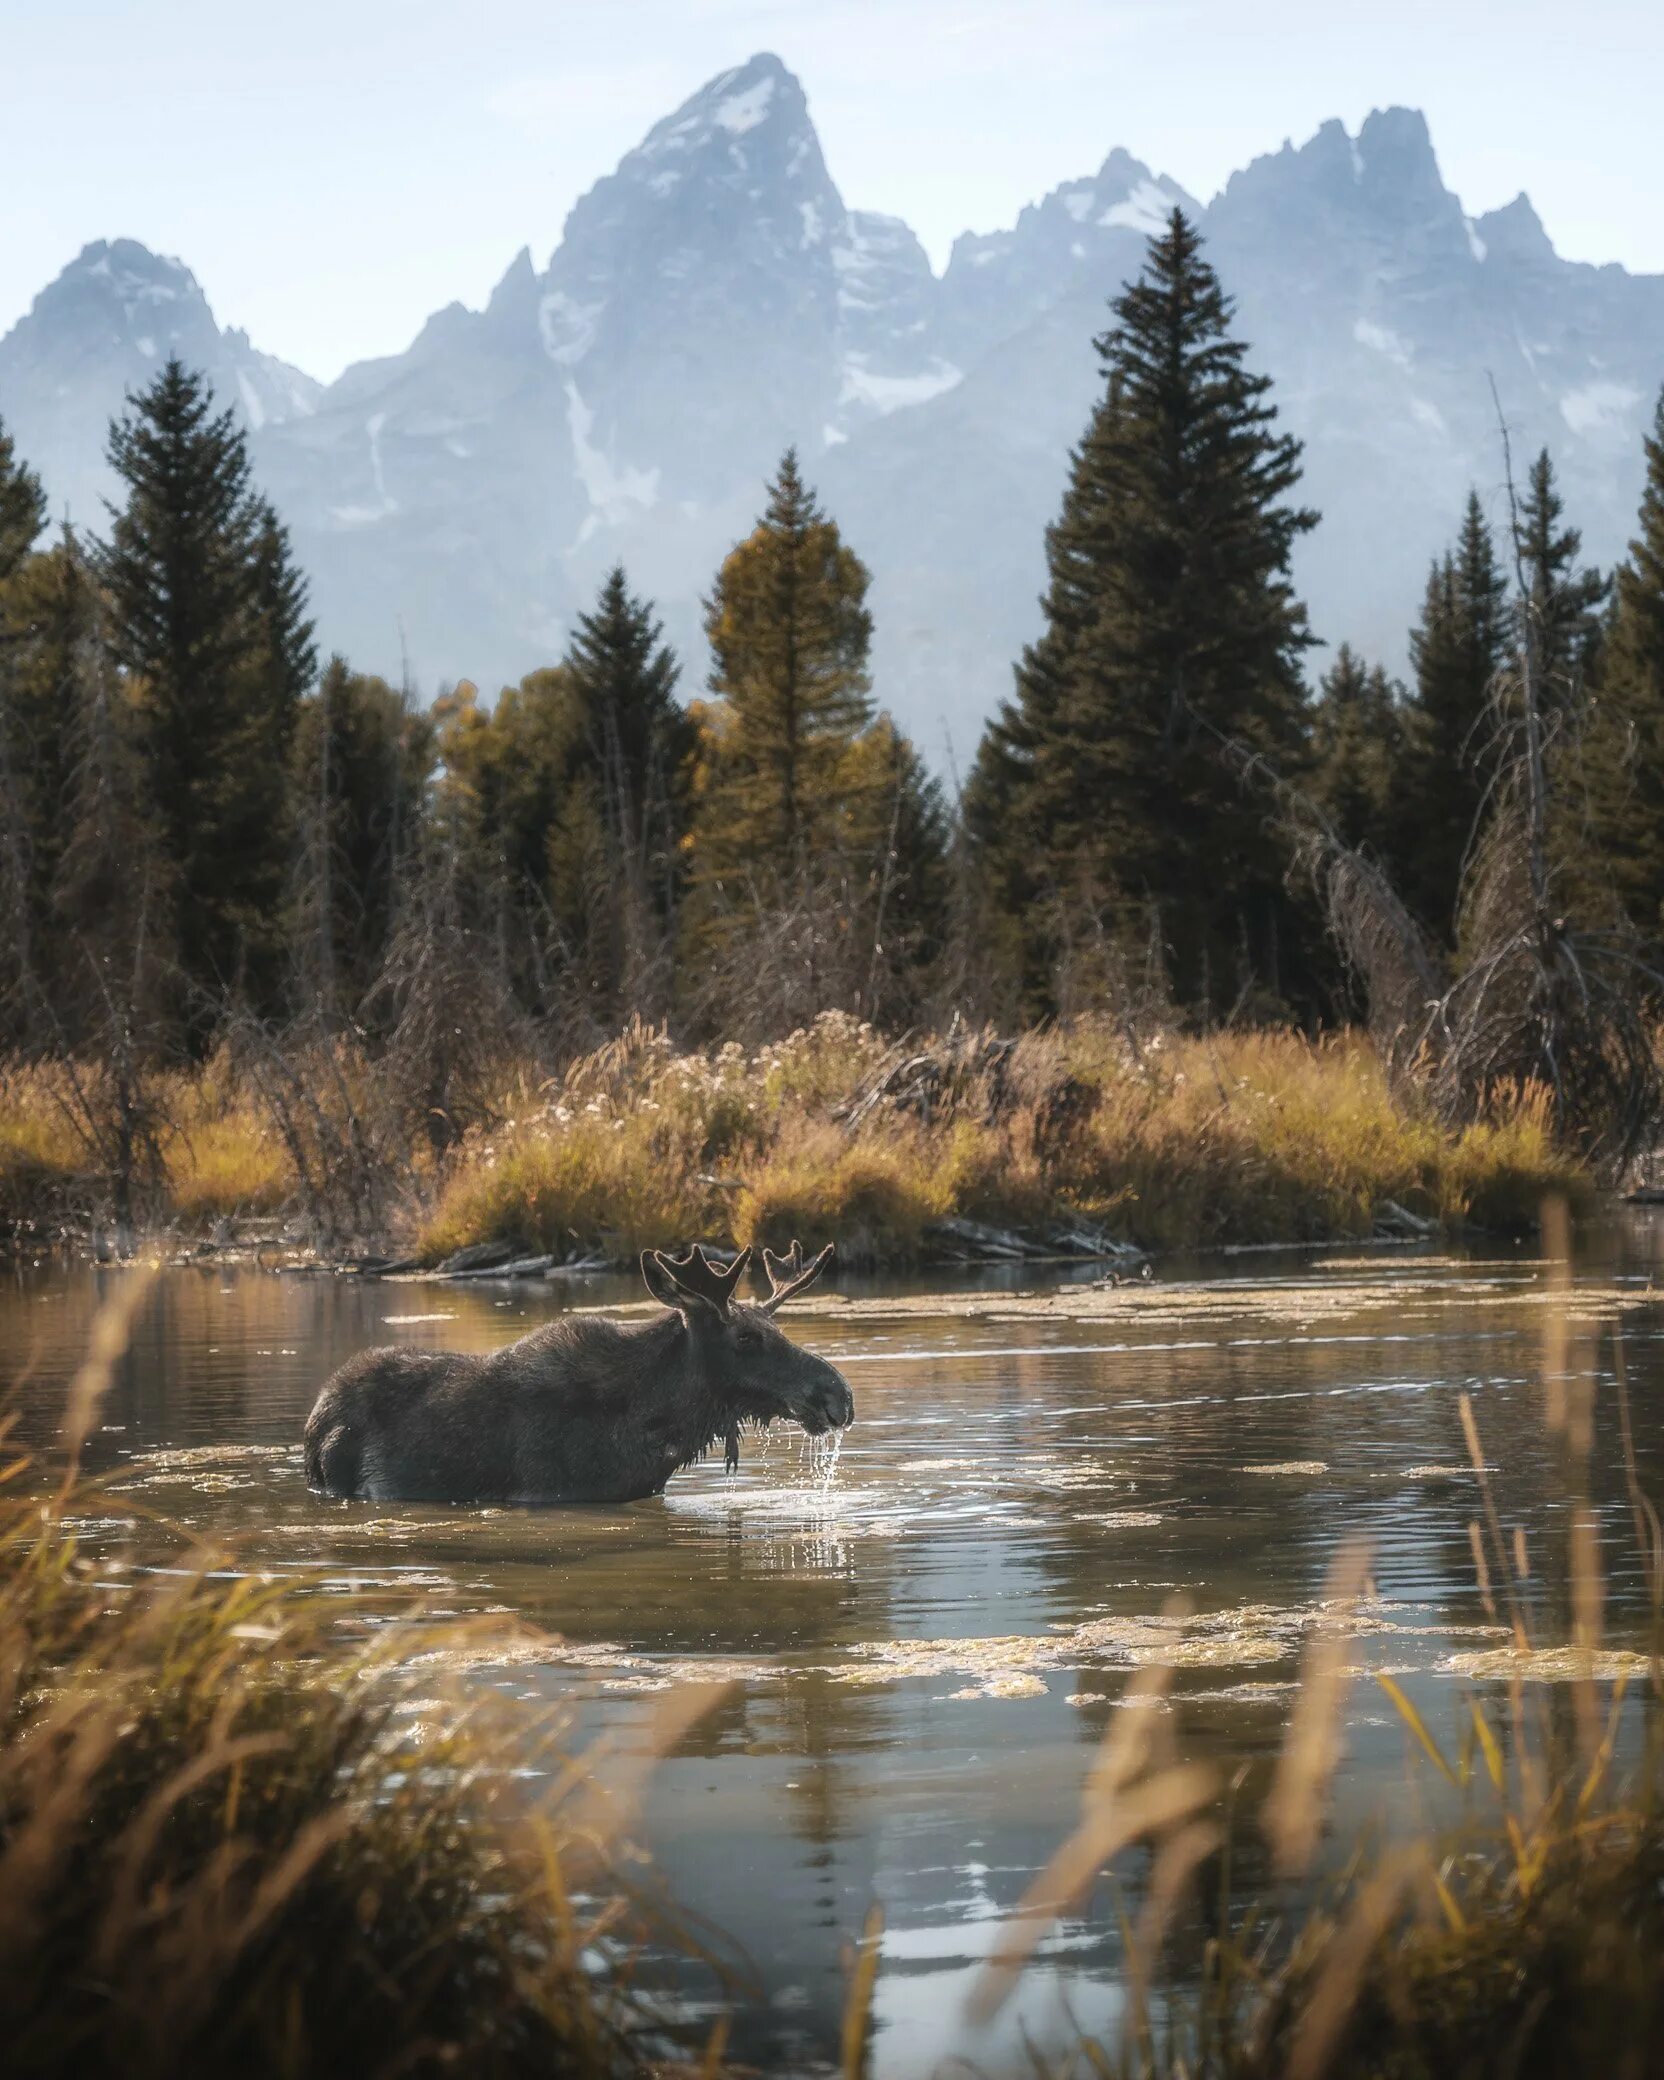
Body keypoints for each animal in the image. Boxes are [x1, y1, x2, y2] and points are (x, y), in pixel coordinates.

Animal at [299, 1231, 852, 1514]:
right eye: (746, 1338)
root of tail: (317, 1413)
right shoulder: (549, 1493)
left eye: (774, 1327)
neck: (656, 1428)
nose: (838, 1396)